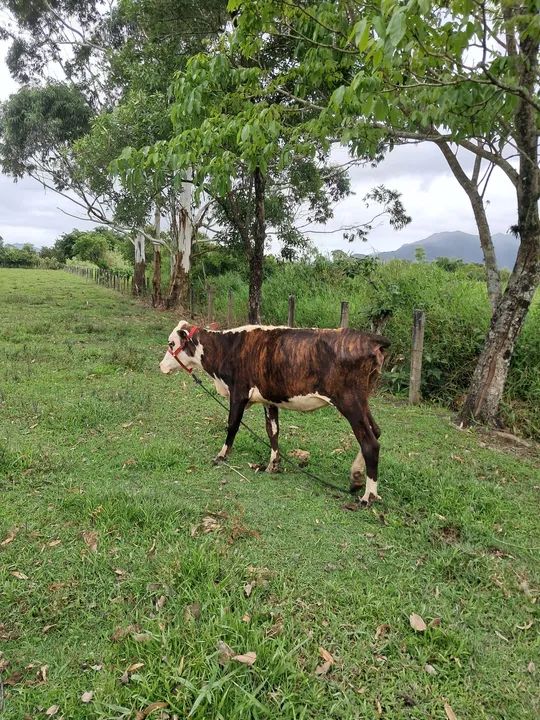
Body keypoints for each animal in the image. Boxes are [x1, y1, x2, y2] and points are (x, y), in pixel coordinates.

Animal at [159, 321, 389, 505]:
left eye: (171, 344)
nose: (161, 366)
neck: (227, 348)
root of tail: (368, 338)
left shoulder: (238, 392)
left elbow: (232, 424)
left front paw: (221, 456)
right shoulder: (268, 400)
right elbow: (273, 431)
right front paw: (273, 465)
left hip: (349, 401)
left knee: (370, 442)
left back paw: (368, 496)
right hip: (362, 402)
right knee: (376, 431)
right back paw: (356, 477)